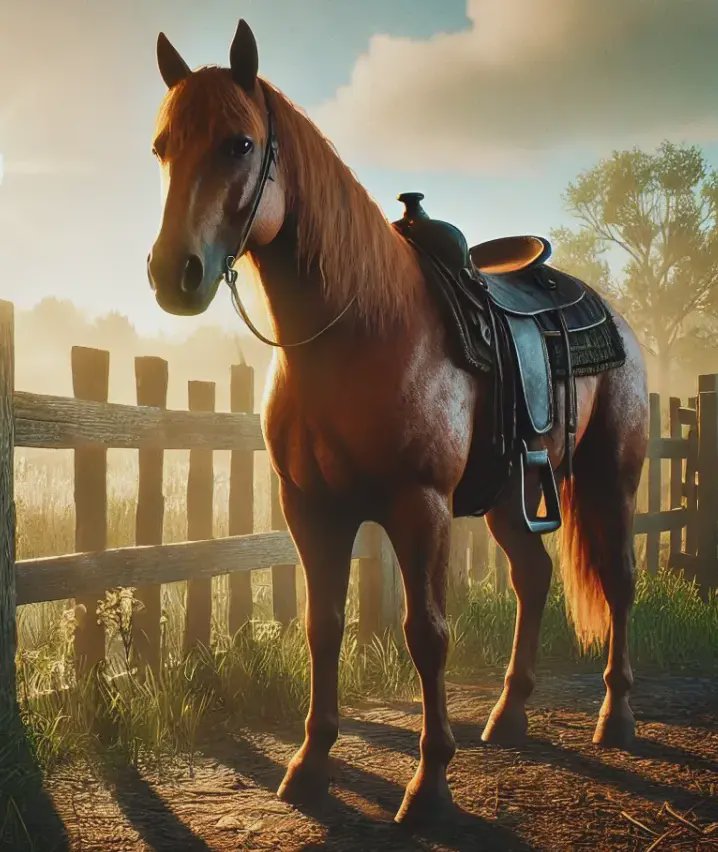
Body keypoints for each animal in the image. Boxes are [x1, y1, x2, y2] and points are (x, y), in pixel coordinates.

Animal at [146, 20, 648, 824]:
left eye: (239, 143)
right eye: (162, 147)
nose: (175, 274)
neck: (360, 330)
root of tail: (611, 315)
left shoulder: (420, 508)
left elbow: (427, 632)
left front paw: (430, 781)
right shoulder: (312, 509)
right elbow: (323, 626)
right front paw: (310, 763)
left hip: (610, 478)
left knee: (621, 580)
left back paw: (616, 717)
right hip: (507, 498)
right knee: (534, 576)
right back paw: (509, 714)